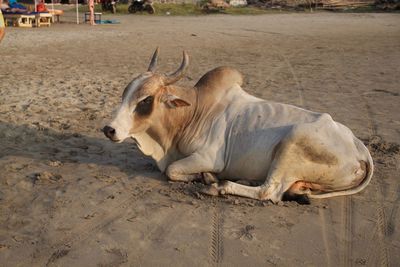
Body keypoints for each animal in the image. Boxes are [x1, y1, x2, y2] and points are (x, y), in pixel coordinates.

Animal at [104, 49, 376, 203]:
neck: (192, 112)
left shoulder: (208, 157)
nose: (109, 129)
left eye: (145, 100)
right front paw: (204, 177)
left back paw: (219, 187)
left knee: (269, 192)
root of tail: (359, 148)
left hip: (292, 141)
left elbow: (171, 171)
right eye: (124, 93)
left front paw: (207, 177)